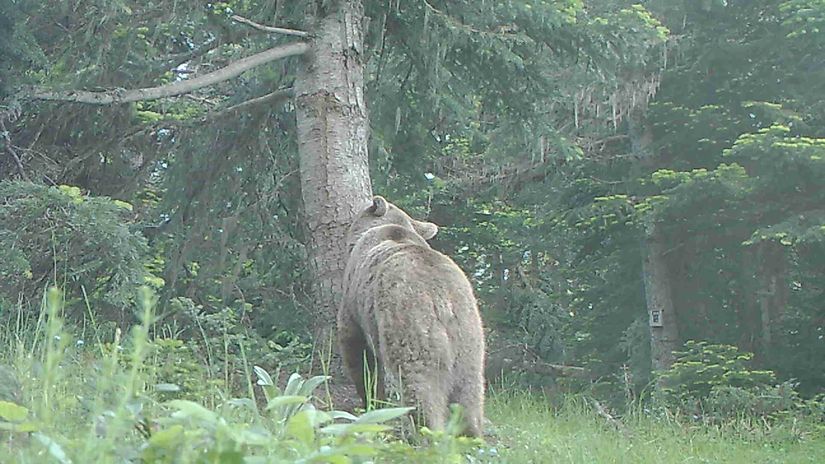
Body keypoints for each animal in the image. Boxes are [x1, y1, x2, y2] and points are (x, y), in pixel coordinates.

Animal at [338, 196, 486, 436]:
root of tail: (443, 299)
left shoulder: (353, 302)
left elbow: (358, 352)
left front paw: (371, 402)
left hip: (412, 324)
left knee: (421, 386)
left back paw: (423, 432)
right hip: (470, 337)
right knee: (469, 392)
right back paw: (470, 435)